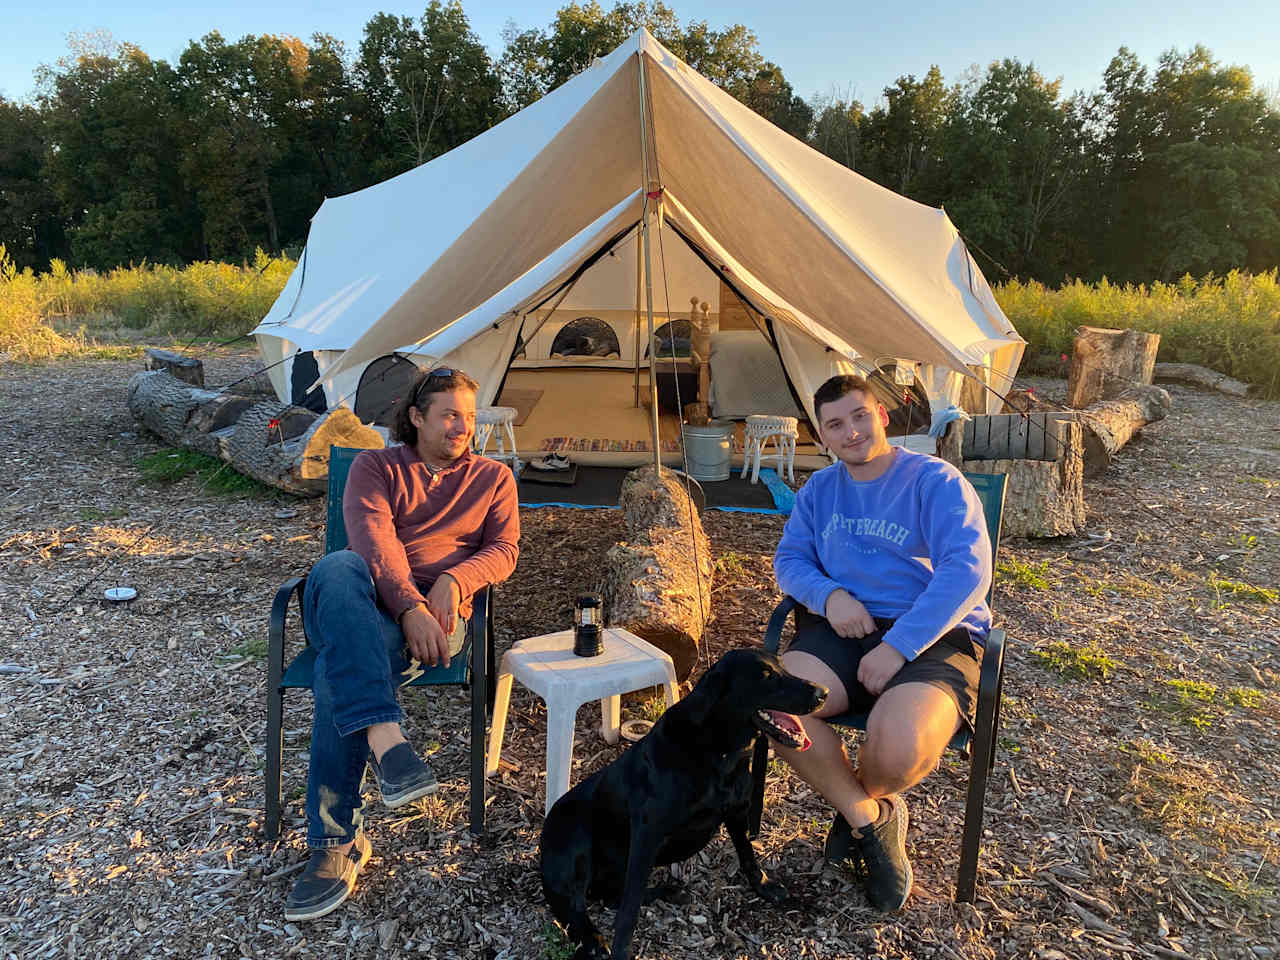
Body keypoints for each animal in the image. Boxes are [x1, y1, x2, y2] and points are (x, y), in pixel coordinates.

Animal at [535, 650, 824, 957]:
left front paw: (764, 885)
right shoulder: (647, 835)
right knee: (575, 908)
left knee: (610, 896)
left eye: (783, 667)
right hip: (575, 837)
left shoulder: (736, 812)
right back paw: (593, 940)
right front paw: (622, 949)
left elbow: (747, 854)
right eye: (766, 676)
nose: (824, 693)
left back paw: (666, 891)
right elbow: (629, 910)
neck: (719, 751)